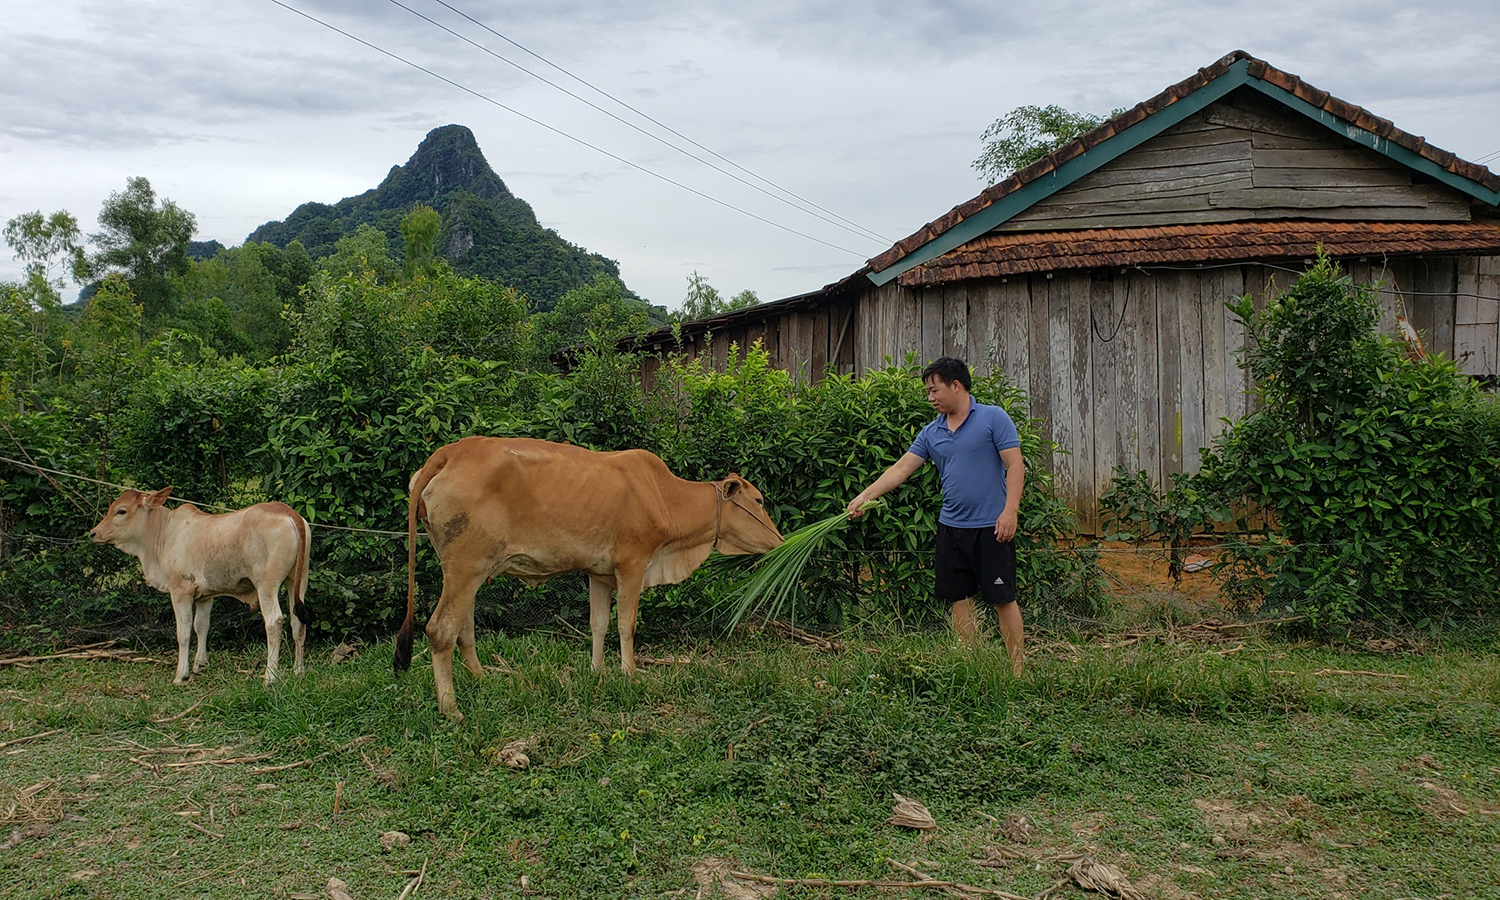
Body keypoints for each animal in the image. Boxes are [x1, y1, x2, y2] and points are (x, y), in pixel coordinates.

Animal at [90, 489, 310, 687]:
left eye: (121, 511)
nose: (93, 533)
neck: (165, 533)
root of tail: (289, 512)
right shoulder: (205, 595)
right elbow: (201, 625)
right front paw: (200, 665)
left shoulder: (181, 591)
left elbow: (184, 631)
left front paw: (181, 675)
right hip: (298, 582)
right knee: (297, 622)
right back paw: (298, 670)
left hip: (266, 585)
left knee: (274, 622)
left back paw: (270, 676)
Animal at [396, 435, 786, 717]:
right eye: (759, 501)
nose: (781, 542)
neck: (664, 496)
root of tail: (449, 452)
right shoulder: (632, 564)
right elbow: (626, 624)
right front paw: (630, 675)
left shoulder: (598, 574)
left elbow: (598, 624)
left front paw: (597, 672)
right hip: (466, 566)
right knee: (441, 629)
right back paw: (451, 709)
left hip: (466, 570)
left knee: (465, 627)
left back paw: (482, 678)